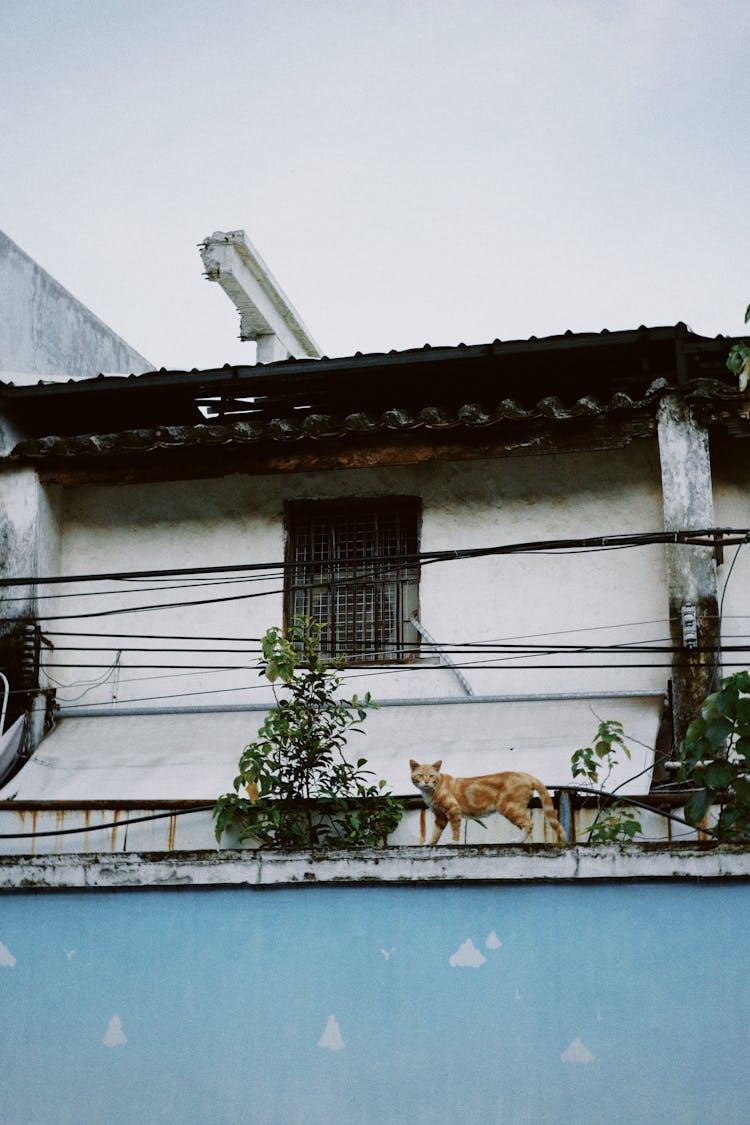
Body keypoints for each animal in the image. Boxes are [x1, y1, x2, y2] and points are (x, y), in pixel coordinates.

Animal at [407, 756, 566, 846]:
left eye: (431, 776)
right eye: (420, 775)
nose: (426, 782)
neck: (430, 792)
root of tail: (526, 775)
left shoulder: (453, 810)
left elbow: (455, 829)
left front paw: (454, 842)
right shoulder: (440, 816)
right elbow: (436, 832)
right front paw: (429, 843)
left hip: (509, 807)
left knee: (529, 823)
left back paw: (518, 840)